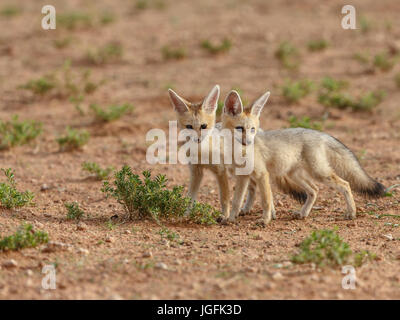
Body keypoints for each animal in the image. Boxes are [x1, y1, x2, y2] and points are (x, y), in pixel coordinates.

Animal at [167, 85, 258, 218]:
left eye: (203, 126)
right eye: (189, 127)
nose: (198, 139)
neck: (202, 152)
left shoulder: (220, 171)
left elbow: (224, 198)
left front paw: (225, 216)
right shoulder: (196, 172)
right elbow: (190, 198)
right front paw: (185, 215)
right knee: (253, 187)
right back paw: (246, 209)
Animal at [220, 89, 386, 225]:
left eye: (252, 129)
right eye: (240, 128)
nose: (248, 142)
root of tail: (319, 133)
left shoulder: (262, 174)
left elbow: (266, 201)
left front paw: (265, 220)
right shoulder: (243, 177)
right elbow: (236, 201)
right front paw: (230, 219)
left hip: (319, 173)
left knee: (345, 184)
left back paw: (351, 213)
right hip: (295, 175)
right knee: (314, 190)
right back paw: (303, 214)